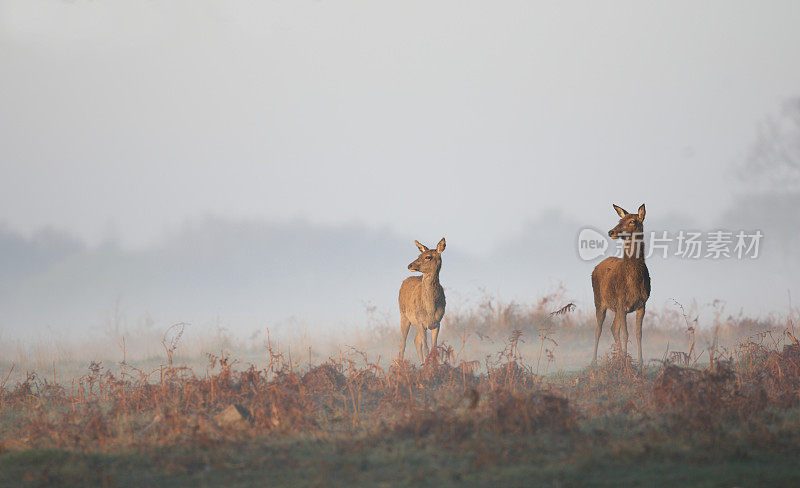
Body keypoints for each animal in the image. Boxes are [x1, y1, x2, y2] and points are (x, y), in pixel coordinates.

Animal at [592, 203, 652, 370]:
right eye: (620, 219)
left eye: (632, 221)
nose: (611, 231)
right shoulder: (621, 302)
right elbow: (626, 334)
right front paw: (626, 363)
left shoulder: (642, 304)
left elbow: (638, 333)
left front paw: (640, 362)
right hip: (599, 300)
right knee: (598, 329)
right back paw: (594, 361)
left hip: (615, 307)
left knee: (613, 328)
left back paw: (618, 357)